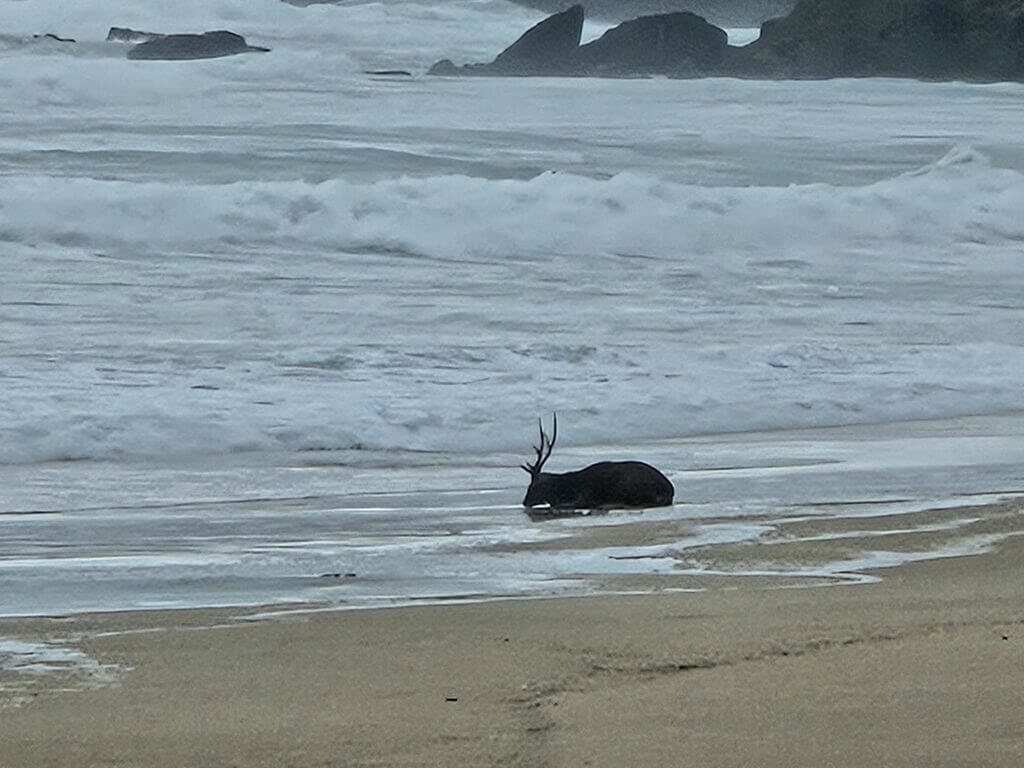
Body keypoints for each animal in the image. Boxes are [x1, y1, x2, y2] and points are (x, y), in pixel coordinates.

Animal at [520, 414, 674, 511]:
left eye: (532, 486)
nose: (525, 502)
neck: (563, 489)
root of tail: (669, 490)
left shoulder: (583, 497)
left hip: (630, 487)